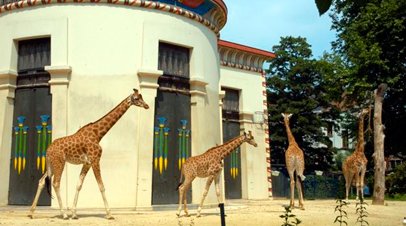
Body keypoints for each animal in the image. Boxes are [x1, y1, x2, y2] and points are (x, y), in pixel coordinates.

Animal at [28, 89, 149, 220]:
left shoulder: (87, 163)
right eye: (136, 98)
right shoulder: (95, 160)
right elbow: (101, 186)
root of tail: (48, 150)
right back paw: (63, 214)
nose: (147, 106)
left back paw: (31, 212)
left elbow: (79, 185)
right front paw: (109, 214)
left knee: (41, 181)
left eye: (141, 97)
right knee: (56, 183)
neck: (98, 134)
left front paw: (74, 214)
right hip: (59, 162)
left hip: (51, 164)